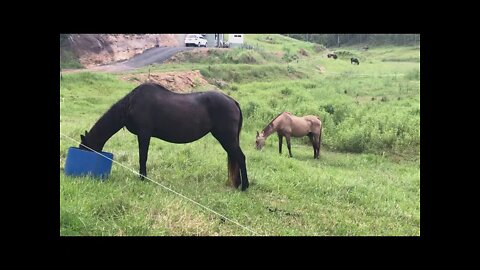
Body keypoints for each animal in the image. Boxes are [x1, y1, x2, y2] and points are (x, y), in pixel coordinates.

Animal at [79, 83, 249, 191]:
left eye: (84, 149)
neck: (131, 104)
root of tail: (233, 102)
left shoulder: (144, 134)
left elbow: (143, 156)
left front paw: (143, 178)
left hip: (226, 138)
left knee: (240, 157)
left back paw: (245, 186)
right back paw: (237, 184)